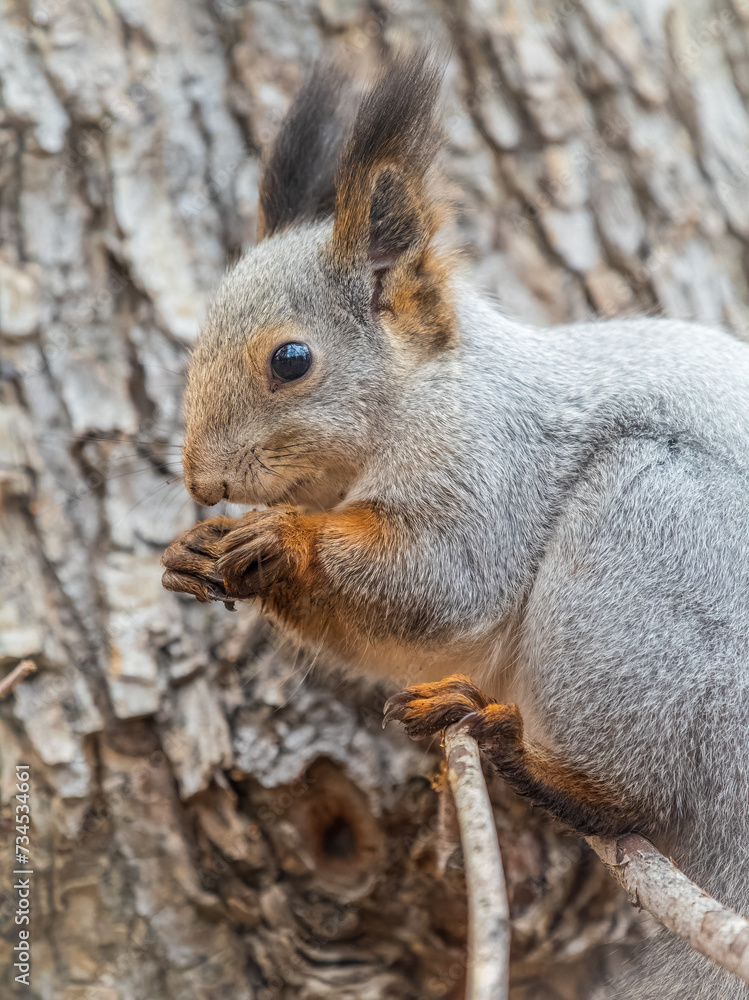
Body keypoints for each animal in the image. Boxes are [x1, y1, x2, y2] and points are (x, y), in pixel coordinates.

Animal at [161, 52, 749, 1000]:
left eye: (291, 360)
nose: (200, 478)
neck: (422, 391)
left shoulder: (487, 464)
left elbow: (441, 585)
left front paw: (279, 541)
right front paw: (196, 552)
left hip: (643, 559)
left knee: (641, 798)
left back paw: (530, 761)